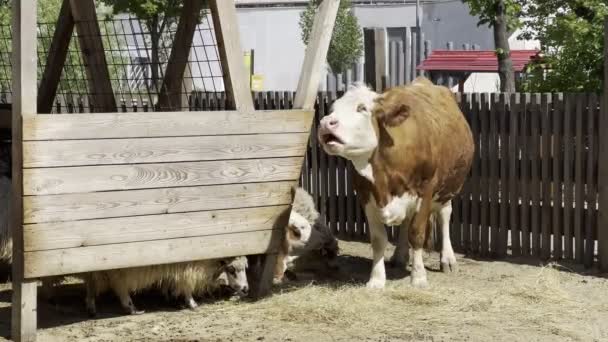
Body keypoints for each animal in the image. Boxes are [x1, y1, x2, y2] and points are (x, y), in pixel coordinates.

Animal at [83, 255, 249, 316]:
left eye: (245, 267)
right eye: (231, 269)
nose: (246, 289)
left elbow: (169, 281)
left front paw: (168, 296)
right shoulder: (185, 268)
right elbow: (185, 286)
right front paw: (191, 303)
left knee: (91, 285)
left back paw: (91, 308)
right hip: (117, 271)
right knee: (120, 288)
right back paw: (132, 309)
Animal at [318, 77, 476, 288]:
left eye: (362, 108)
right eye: (333, 108)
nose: (325, 123)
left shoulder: (425, 191)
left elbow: (416, 233)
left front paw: (418, 277)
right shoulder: (365, 194)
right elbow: (378, 239)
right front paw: (376, 280)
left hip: (447, 188)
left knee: (444, 215)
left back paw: (448, 259)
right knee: (406, 222)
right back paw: (400, 256)